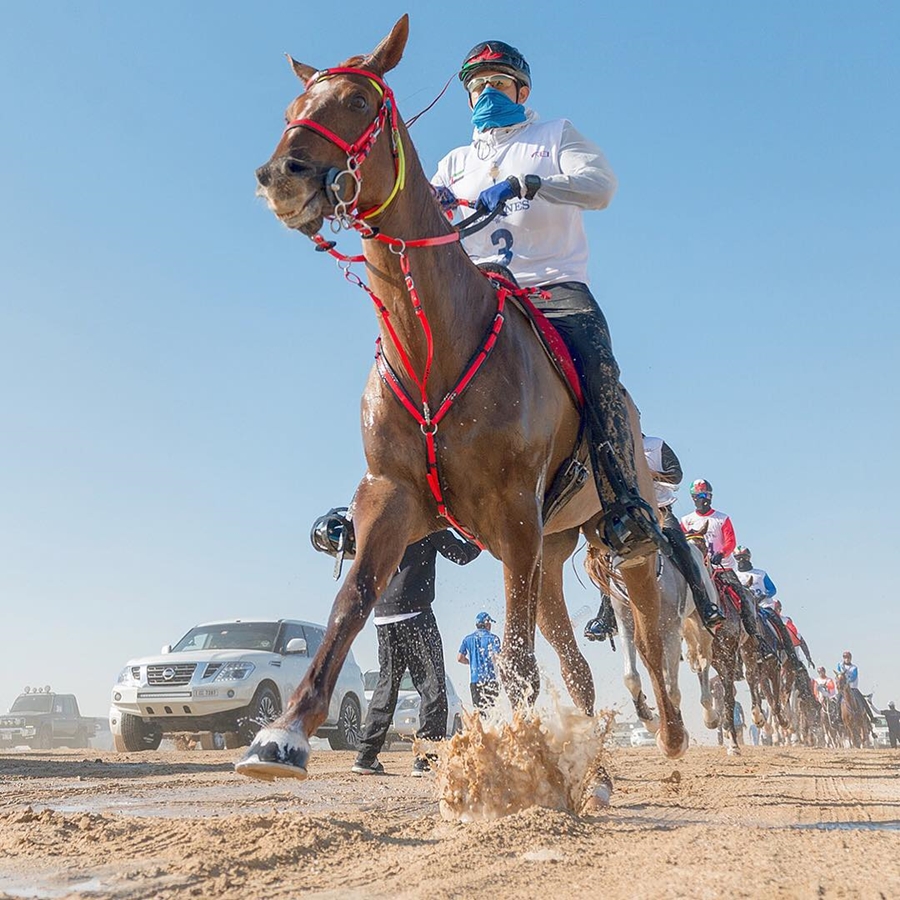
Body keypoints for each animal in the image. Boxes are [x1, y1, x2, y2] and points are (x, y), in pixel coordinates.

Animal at [236, 12, 684, 780]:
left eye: (358, 101)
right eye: (296, 104)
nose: (280, 177)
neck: (435, 347)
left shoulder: (514, 516)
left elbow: (516, 658)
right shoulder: (396, 498)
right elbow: (352, 601)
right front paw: (284, 732)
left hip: (613, 531)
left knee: (649, 629)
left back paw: (673, 732)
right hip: (551, 552)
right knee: (575, 665)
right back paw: (595, 764)